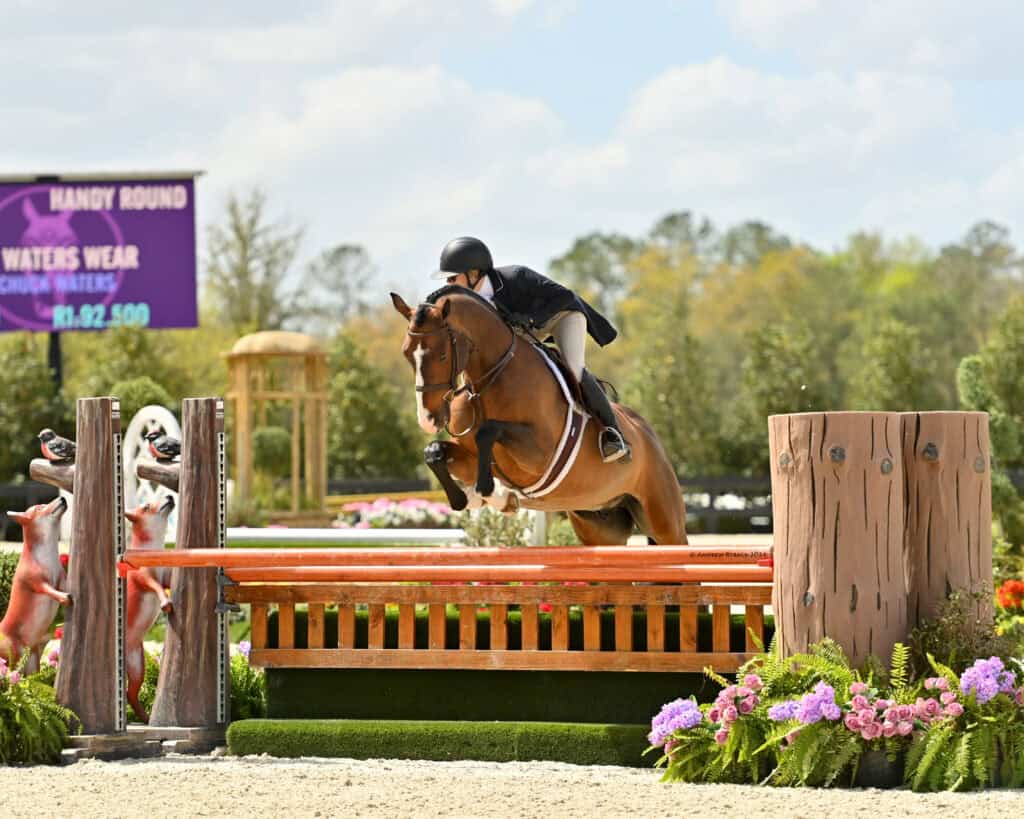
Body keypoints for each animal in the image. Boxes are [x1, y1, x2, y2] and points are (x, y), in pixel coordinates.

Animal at [390, 285, 687, 545]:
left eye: (442, 355)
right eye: (406, 354)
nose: (428, 419)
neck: (488, 380)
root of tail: (649, 435)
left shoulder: (539, 454)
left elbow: (488, 430)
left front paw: (489, 491)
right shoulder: (470, 456)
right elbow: (435, 453)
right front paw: (469, 499)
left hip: (665, 522)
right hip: (599, 525)